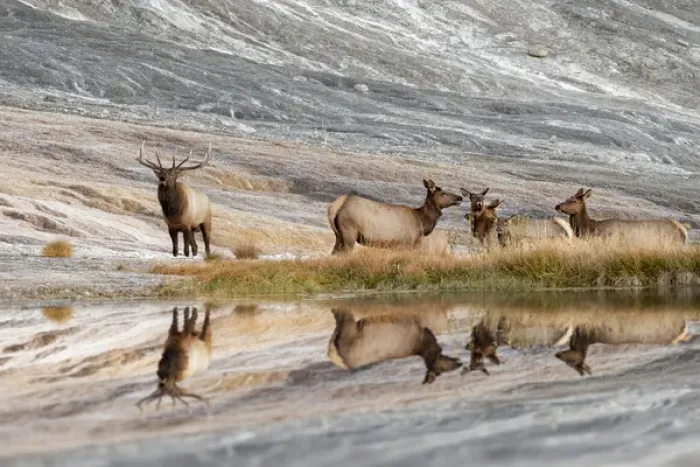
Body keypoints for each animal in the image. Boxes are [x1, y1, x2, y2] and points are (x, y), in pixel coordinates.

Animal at [327, 180, 462, 255]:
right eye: (444, 193)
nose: (460, 197)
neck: (421, 223)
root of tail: (336, 206)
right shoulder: (405, 243)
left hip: (338, 235)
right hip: (349, 232)